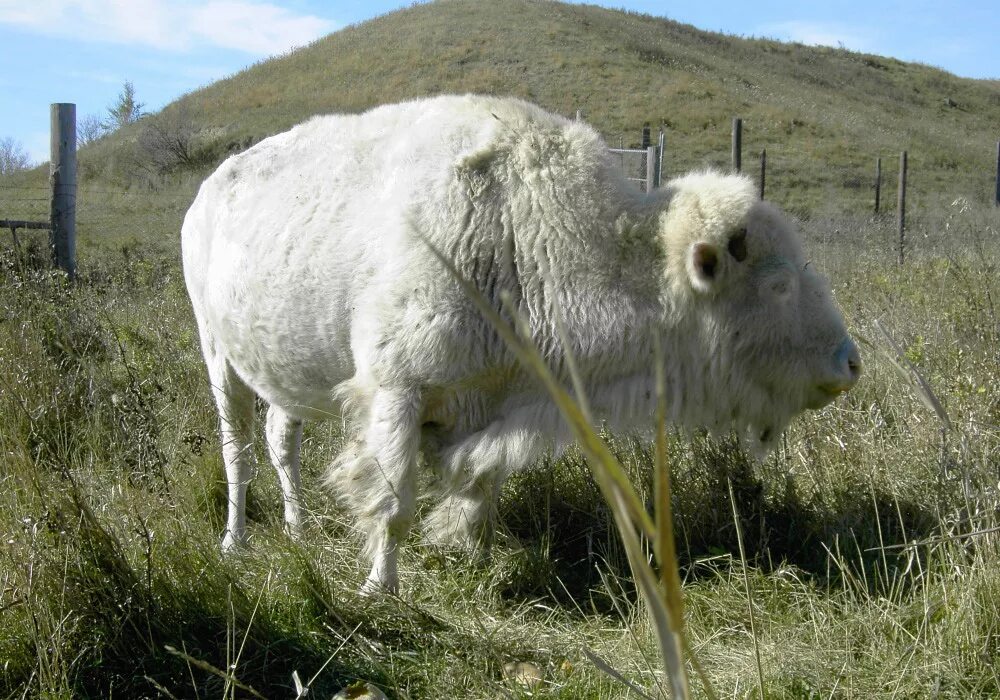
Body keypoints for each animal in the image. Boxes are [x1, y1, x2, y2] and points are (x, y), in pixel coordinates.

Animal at [180, 95, 860, 592]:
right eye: (777, 284)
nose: (849, 364)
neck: (528, 230)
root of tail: (205, 194)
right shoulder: (396, 392)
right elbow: (393, 501)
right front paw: (380, 589)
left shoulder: (491, 410)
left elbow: (477, 489)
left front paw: (470, 558)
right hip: (217, 356)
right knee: (238, 450)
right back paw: (234, 541)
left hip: (281, 376)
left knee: (281, 443)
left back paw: (296, 531)